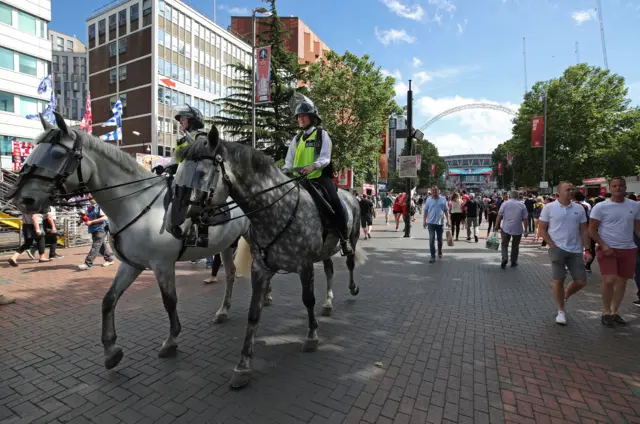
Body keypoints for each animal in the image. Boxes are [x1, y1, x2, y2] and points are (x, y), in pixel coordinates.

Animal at [8, 112, 251, 368]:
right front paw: (111, 350)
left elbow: (170, 301)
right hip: (227, 244)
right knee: (231, 273)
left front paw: (171, 341)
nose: (24, 200)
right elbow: (109, 299)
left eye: (56, 154)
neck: (137, 204)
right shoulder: (131, 264)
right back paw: (223, 311)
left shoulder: (163, 265)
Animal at [166, 125, 364, 388]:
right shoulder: (260, 269)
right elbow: (253, 314)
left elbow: (308, 299)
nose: (175, 225)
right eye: (178, 172)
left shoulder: (304, 266)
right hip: (324, 251)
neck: (276, 210)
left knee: (349, 263)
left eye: (200, 173)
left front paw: (312, 336)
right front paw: (243, 366)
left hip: (351, 238)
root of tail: (350, 195)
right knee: (330, 270)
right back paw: (329, 302)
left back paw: (352, 288)